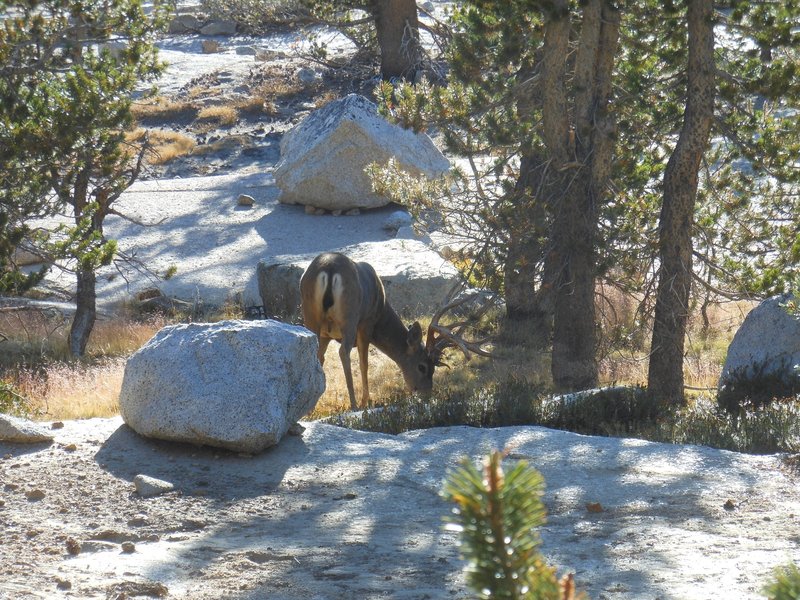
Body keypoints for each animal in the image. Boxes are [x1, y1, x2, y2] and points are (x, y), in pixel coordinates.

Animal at [298, 251, 488, 410]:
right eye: (422, 367)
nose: (426, 394)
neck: (382, 309)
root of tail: (329, 269)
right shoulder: (366, 324)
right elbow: (364, 363)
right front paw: (366, 402)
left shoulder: (326, 335)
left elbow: (320, 358)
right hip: (350, 316)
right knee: (344, 352)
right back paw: (354, 404)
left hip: (311, 316)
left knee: (316, 352)